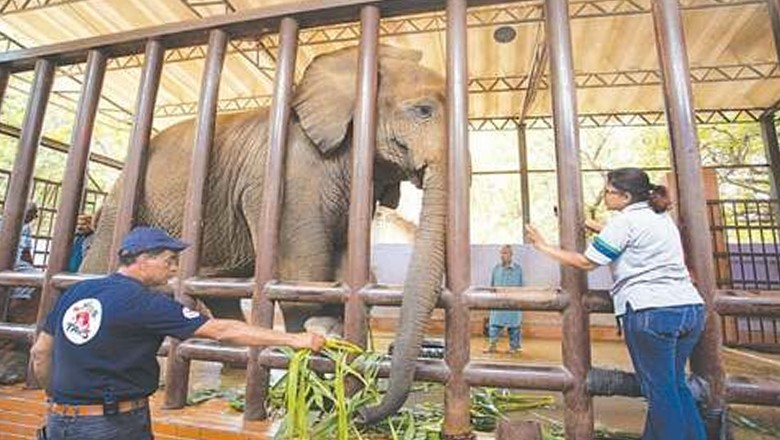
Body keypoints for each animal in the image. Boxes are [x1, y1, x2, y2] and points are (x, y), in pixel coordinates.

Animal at [80, 45, 447, 423]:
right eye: (423, 110)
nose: (364, 414)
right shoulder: (294, 178)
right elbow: (305, 276)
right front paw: (315, 385)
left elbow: (347, 268)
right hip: (123, 203)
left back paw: (237, 368)